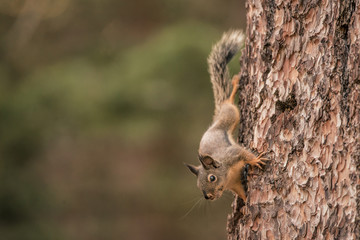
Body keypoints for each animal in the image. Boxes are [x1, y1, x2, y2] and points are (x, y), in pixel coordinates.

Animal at [186, 30, 268, 202]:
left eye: (212, 178)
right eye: (198, 185)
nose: (208, 197)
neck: (228, 175)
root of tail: (216, 119)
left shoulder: (233, 154)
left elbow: (245, 153)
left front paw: (256, 159)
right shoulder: (235, 184)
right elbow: (242, 193)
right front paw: (246, 205)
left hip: (230, 115)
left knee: (229, 102)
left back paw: (234, 86)